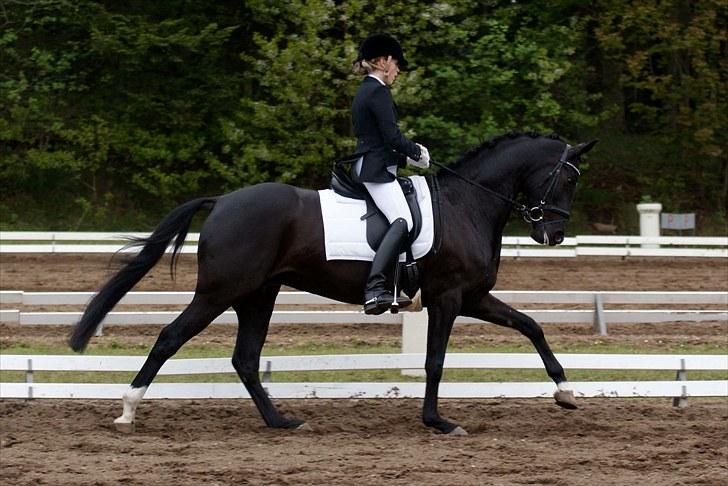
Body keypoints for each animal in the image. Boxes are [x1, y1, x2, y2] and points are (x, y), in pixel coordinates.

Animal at [69, 132, 596, 432]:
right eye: (568, 180)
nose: (553, 234)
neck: (467, 204)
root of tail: (221, 201)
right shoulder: (448, 298)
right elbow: (434, 363)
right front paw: (438, 422)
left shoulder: (474, 297)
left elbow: (530, 326)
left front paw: (566, 392)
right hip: (221, 292)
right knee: (170, 337)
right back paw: (128, 410)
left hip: (258, 295)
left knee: (245, 359)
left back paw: (282, 422)